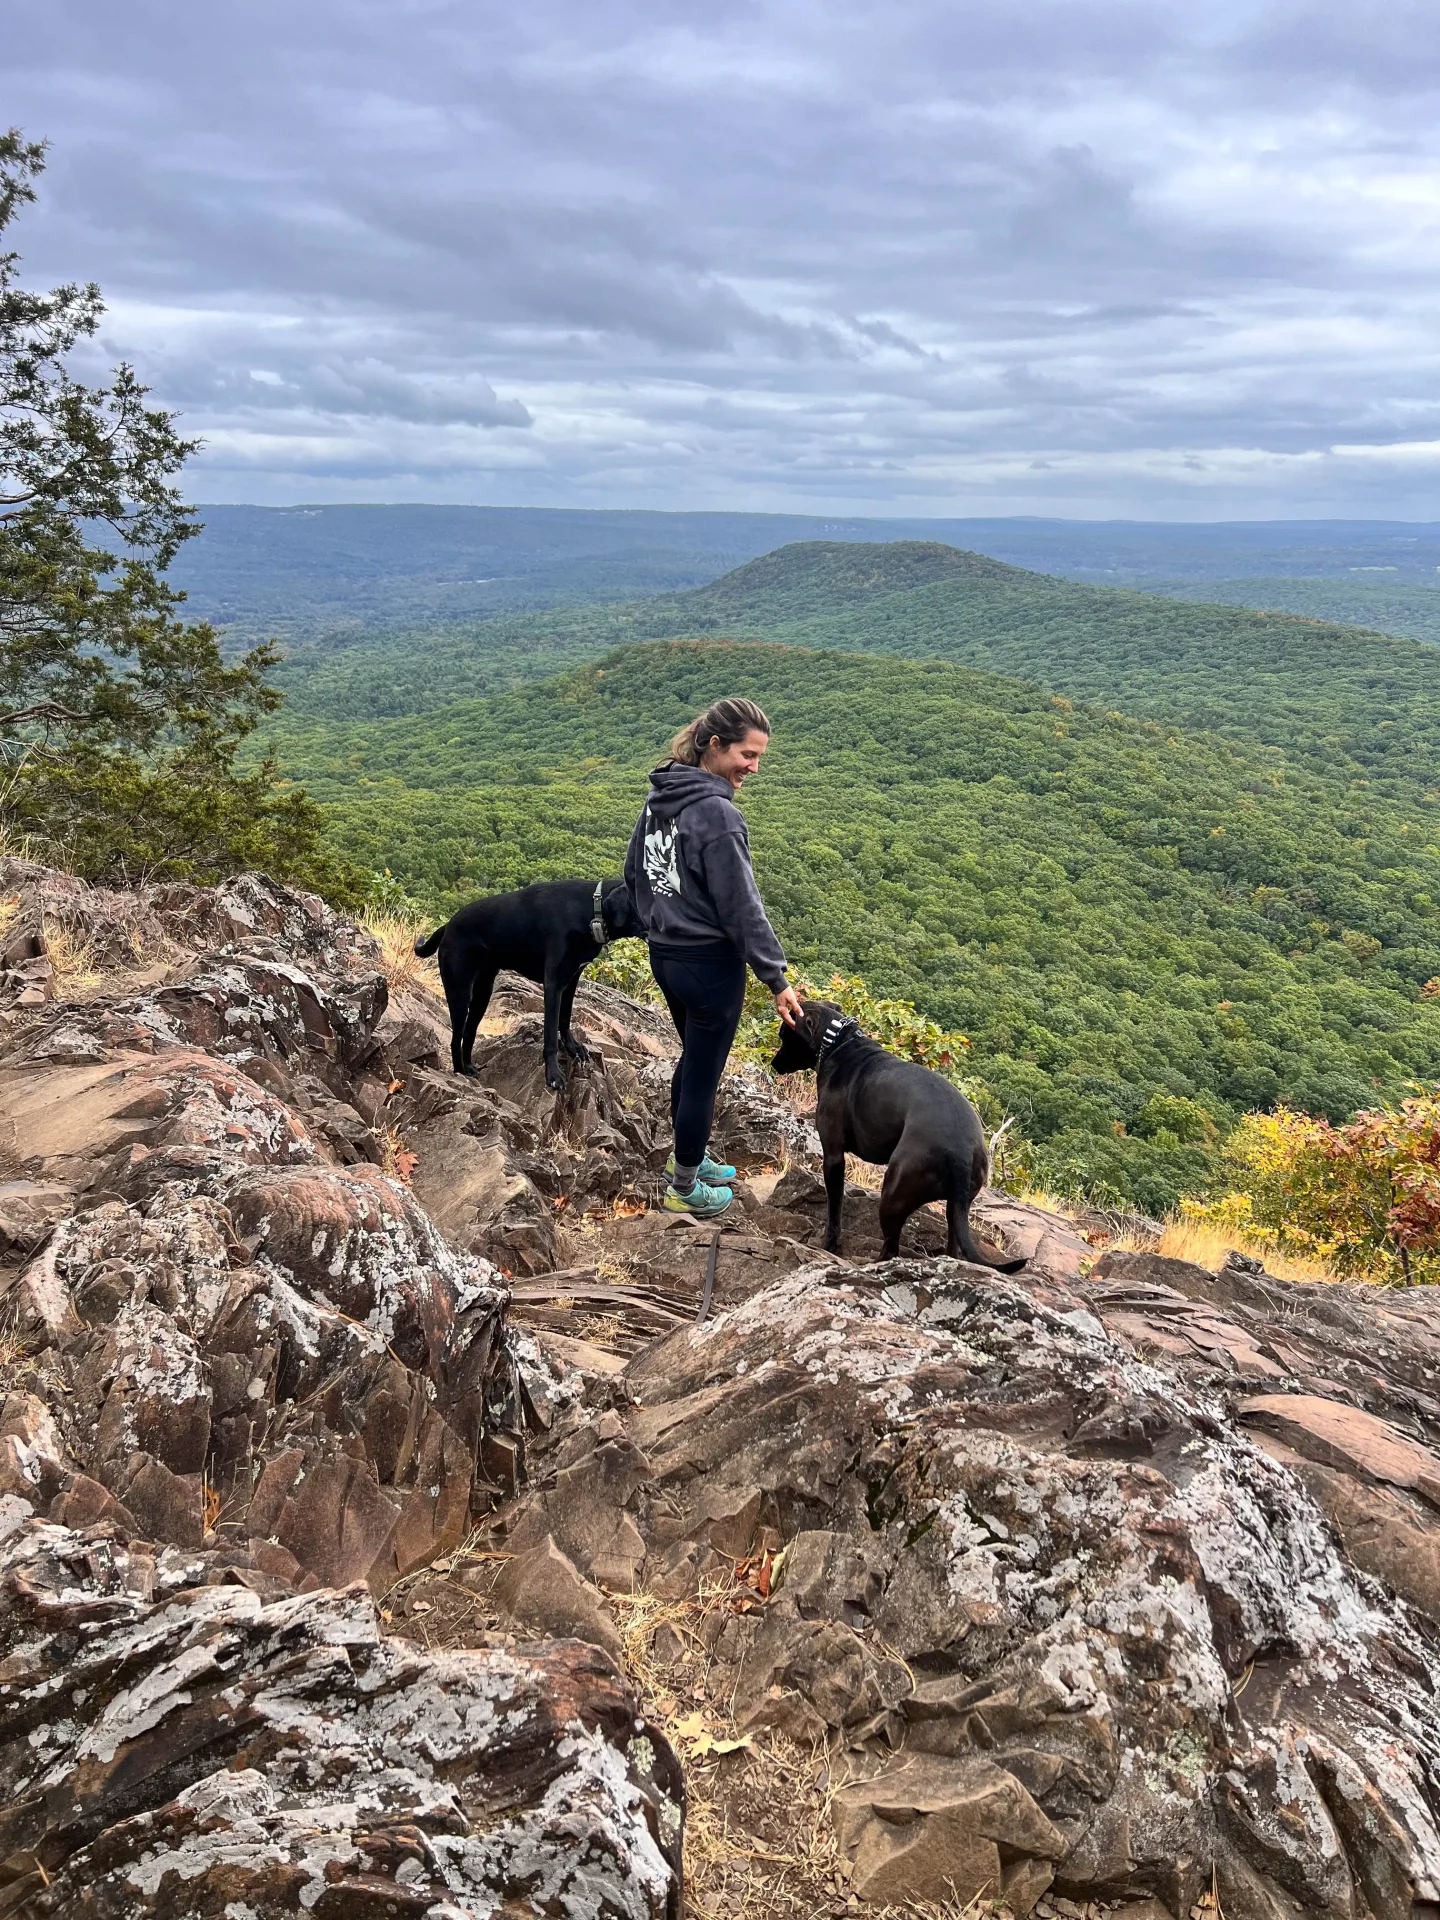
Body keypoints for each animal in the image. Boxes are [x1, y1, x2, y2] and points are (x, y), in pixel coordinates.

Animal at [414, 879, 645, 1090]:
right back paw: (459, 1071)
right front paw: (553, 1075)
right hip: (459, 990)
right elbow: (550, 1033)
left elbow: (565, 1018)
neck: (590, 910)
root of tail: (447, 926)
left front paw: (572, 1047)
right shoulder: (553, 984)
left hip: (483, 993)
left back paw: (469, 1068)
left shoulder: (571, 981)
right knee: (456, 1037)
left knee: (469, 1033)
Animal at [779, 998, 1029, 1267]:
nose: (774, 1063)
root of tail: (961, 1150)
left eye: (784, 1034)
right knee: (951, 1246)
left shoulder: (834, 1157)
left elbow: (834, 1210)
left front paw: (829, 1244)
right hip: (956, 1207)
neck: (838, 1041)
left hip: (893, 1191)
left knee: (891, 1248)